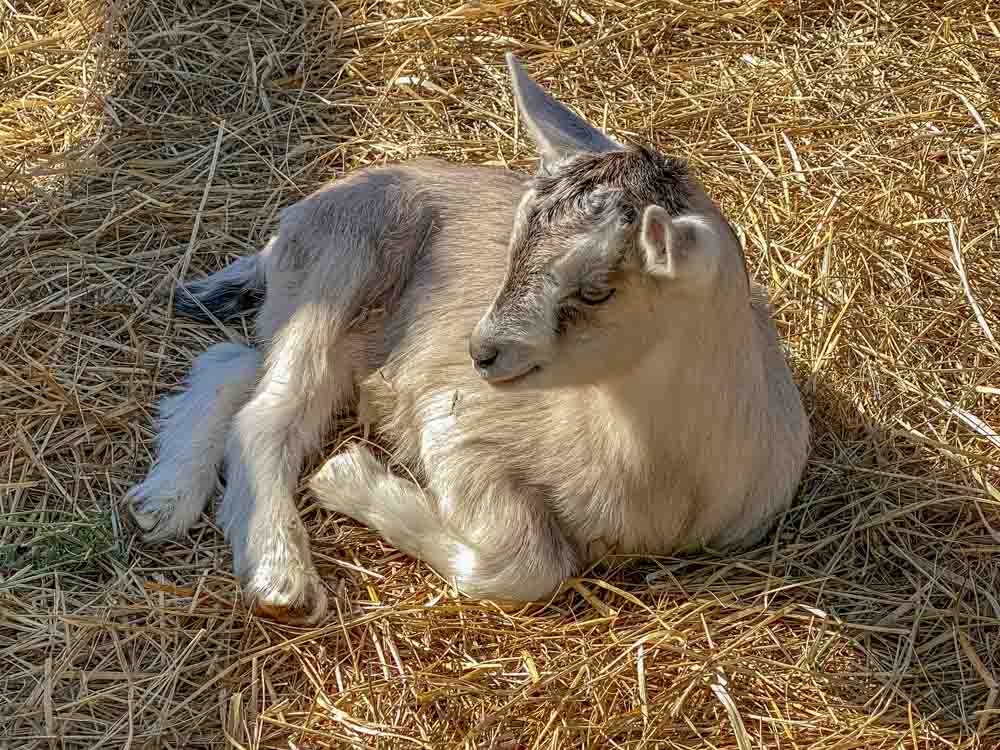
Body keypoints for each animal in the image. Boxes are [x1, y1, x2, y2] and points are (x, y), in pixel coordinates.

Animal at [127, 55, 812, 624]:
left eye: (596, 289)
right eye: (514, 243)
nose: (480, 352)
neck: (656, 471)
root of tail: (285, 230)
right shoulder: (458, 432)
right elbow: (526, 565)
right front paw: (347, 475)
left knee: (234, 361)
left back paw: (163, 500)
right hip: (341, 262)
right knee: (269, 411)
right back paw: (280, 576)